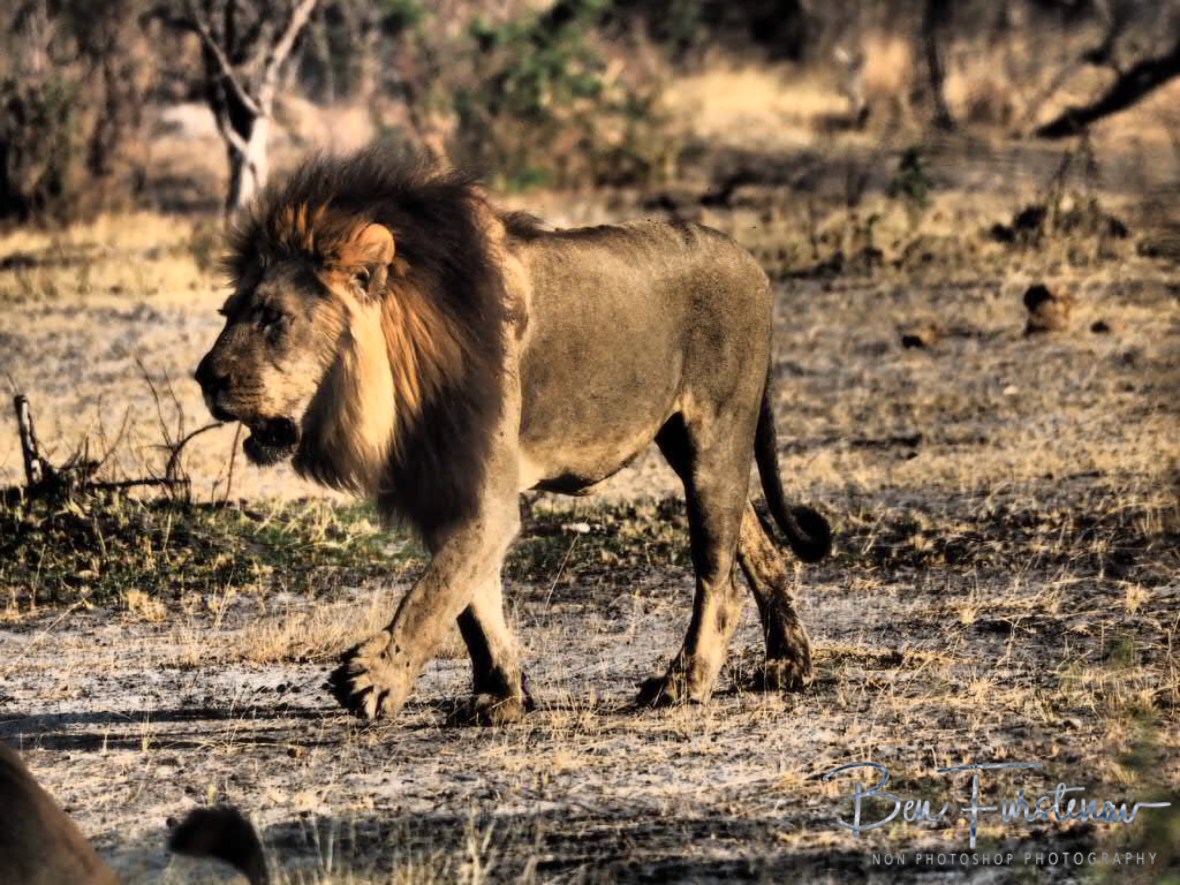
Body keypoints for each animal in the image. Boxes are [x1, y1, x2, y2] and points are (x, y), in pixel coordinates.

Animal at [195, 147, 831, 724]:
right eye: (228, 312)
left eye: (273, 318)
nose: (204, 377)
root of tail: (750, 260)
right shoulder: (446, 487)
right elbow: (472, 602)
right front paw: (500, 696)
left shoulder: (485, 495)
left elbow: (433, 592)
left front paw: (375, 678)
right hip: (685, 446)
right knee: (759, 545)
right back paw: (787, 664)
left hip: (714, 438)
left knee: (717, 577)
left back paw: (684, 683)